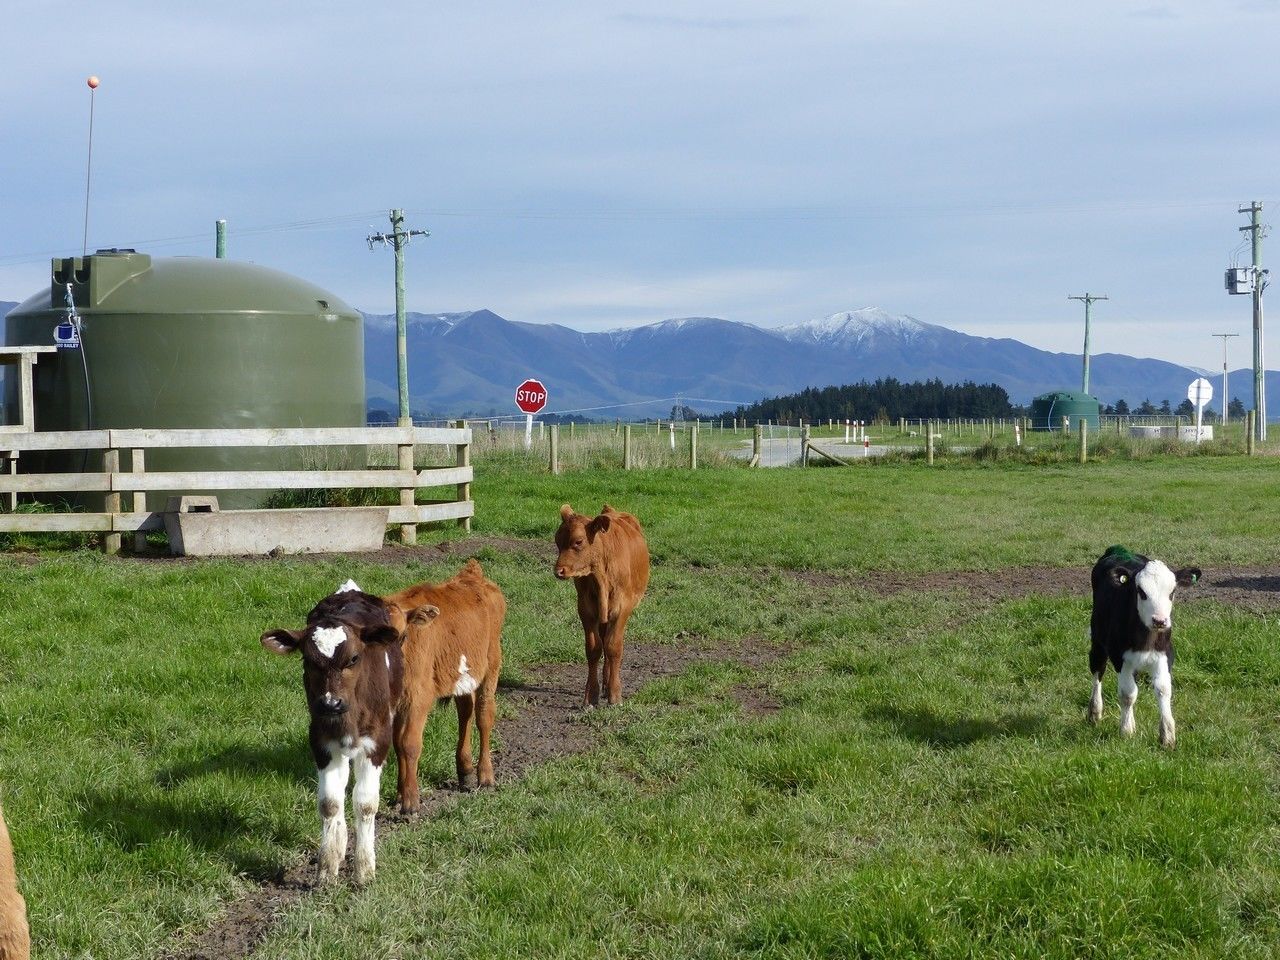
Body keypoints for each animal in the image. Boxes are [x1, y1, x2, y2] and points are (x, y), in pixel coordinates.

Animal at [258, 578, 399, 885]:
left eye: (354, 658)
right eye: (308, 660)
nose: (330, 702)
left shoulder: (378, 741)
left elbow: (366, 803)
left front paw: (364, 869)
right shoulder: (321, 741)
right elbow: (329, 803)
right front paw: (327, 867)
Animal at [378, 560, 504, 814]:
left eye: (402, 636)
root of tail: (472, 576)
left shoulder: (419, 698)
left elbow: (409, 744)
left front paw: (410, 801)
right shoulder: (396, 703)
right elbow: (397, 743)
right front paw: (400, 794)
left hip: (492, 664)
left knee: (484, 715)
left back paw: (485, 776)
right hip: (461, 675)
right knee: (465, 712)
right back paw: (465, 771)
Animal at [552, 506, 650, 711]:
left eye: (578, 541)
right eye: (557, 540)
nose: (559, 571)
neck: (599, 576)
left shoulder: (622, 609)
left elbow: (614, 647)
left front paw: (615, 695)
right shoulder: (585, 609)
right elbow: (594, 648)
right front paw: (591, 696)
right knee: (603, 640)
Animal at [1090, 547, 1198, 752]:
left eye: (1172, 592)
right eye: (1141, 592)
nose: (1160, 620)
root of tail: (1118, 549)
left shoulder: (1165, 655)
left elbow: (1163, 690)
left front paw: (1167, 736)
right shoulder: (1120, 657)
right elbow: (1127, 694)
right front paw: (1126, 732)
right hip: (1097, 641)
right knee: (1097, 672)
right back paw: (1094, 711)